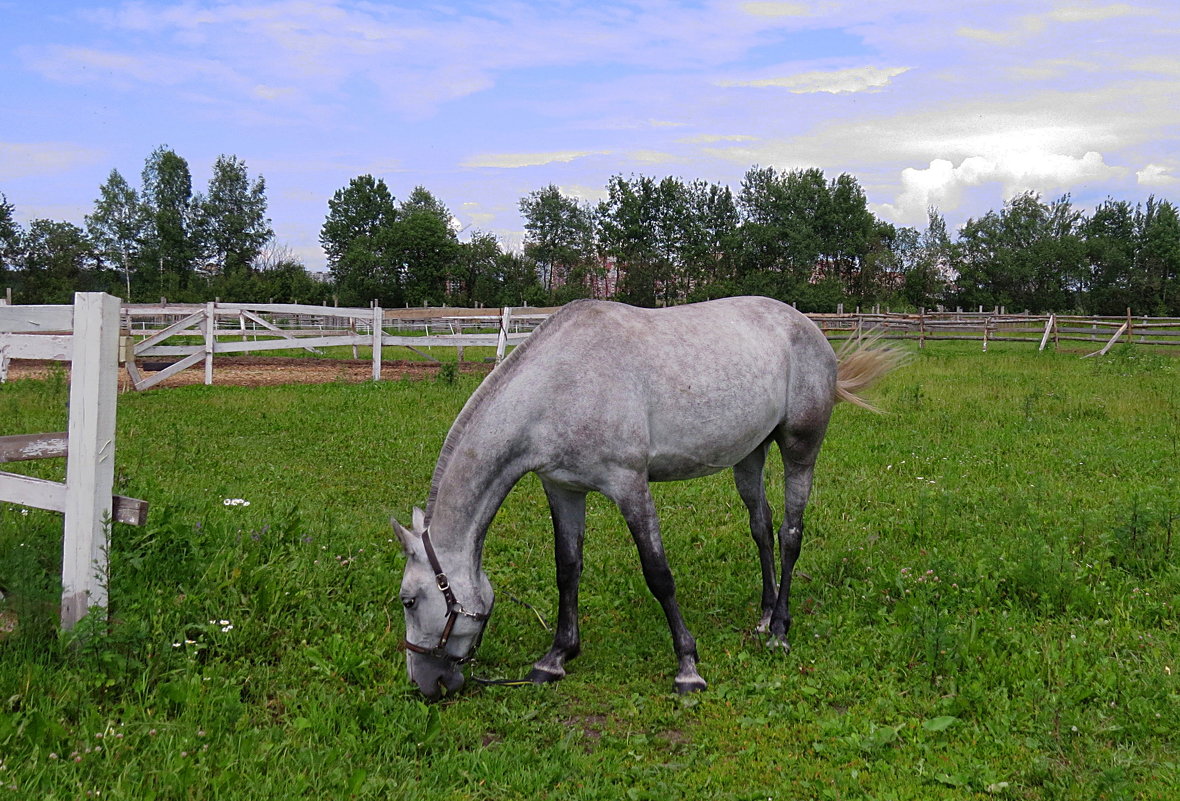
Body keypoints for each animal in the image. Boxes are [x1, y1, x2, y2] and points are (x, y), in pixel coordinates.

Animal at [396, 297, 901, 698]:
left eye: (408, 601)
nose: (426, 684)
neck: (559, 385)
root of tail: (808, 326)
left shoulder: (629, 486)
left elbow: (658, 574)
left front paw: (687, 667)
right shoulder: (563, 488)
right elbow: (567, 569)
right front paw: (556, 657)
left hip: (800, 451)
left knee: (790, 533)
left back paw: (779, 629)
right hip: (749, 455)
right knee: (761, 528)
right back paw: (763, 615)